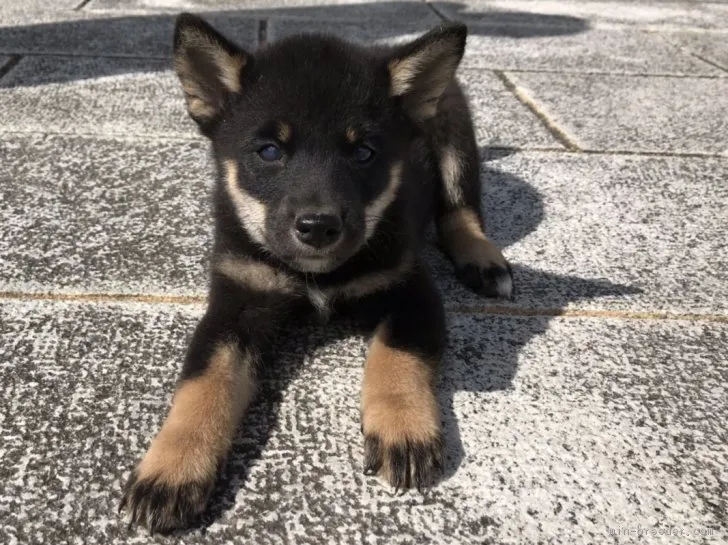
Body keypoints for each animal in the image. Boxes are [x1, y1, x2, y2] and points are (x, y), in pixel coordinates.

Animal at [121, 11, 512, 532]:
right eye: (269, 151)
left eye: (363, 153)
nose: (318, 226)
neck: (317, 276)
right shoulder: (236, 302)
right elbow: (203, 384)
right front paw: (171, 467)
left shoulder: (411, 290)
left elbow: (396, 355)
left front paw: (403, 426)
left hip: (456, 142)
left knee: (460, 211)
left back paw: (483, 259)